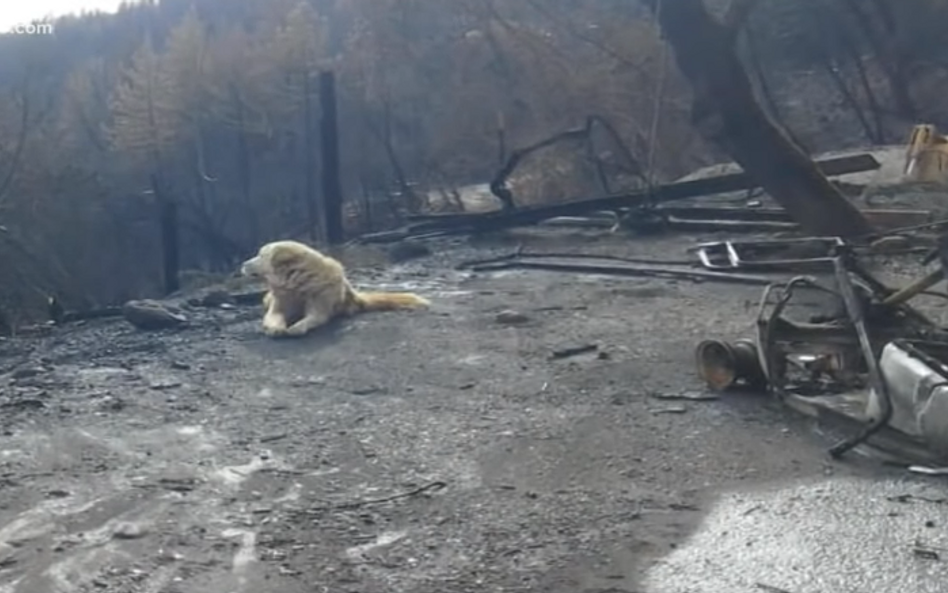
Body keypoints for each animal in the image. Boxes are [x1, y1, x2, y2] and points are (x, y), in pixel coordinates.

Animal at [239, 238, 432, 336]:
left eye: (260, 255)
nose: (243, 263)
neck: (296, 282)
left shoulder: (320, 302)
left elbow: (313, 317)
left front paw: (295, 328)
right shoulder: (281, 300)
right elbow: (274, 315)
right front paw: (275, 328)